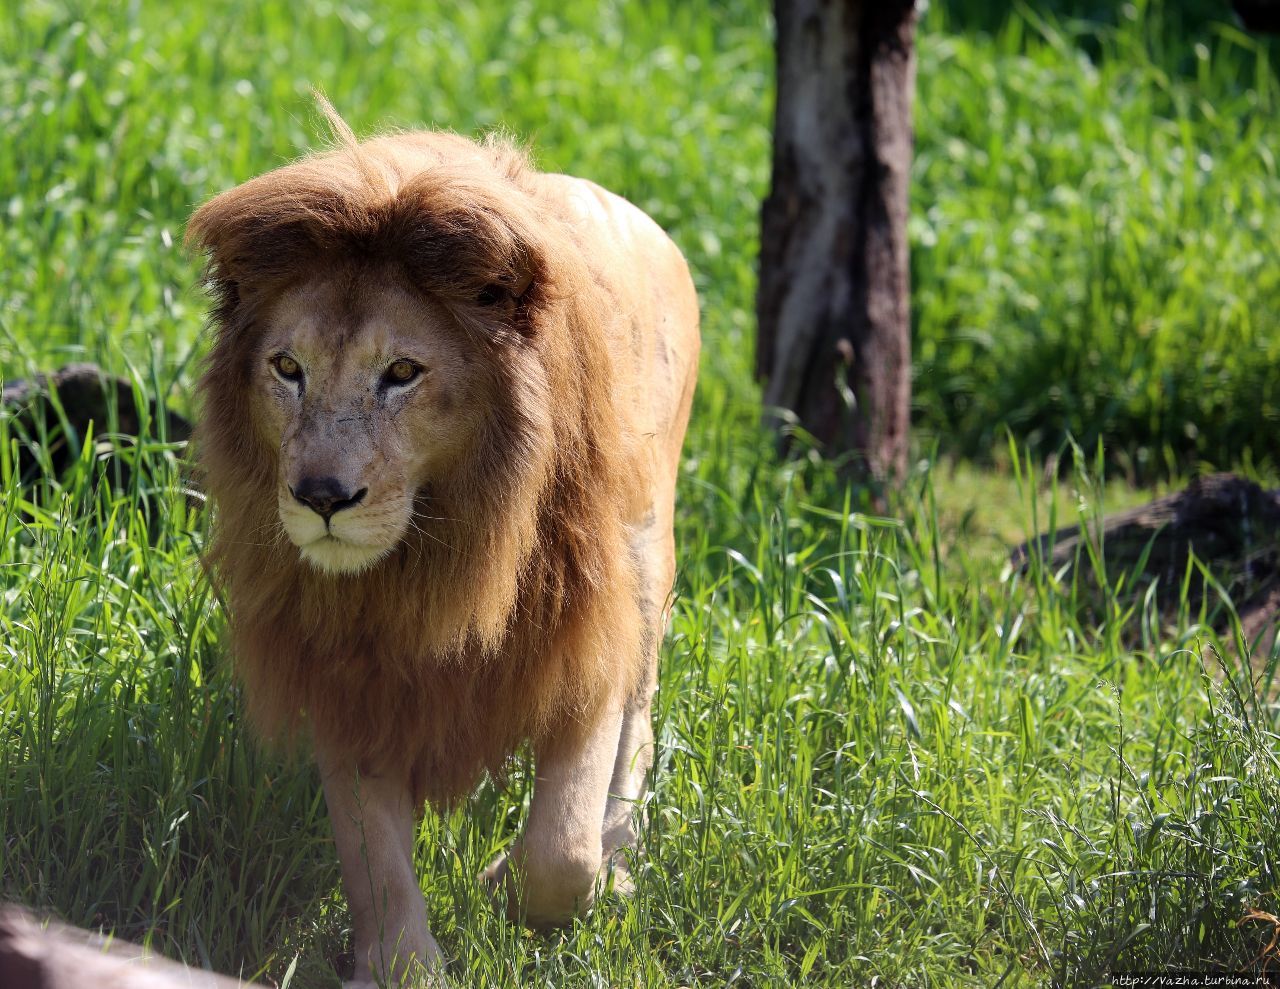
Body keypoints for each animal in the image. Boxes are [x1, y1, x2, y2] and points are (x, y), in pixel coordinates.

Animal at [186, 110, 701, 987]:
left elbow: (560, 851)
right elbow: (377, 861)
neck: (436, 558)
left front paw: (515, 888)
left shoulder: (582, 635)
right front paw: (399, 957)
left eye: (402, 371)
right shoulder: (343, 671)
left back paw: (621, 855)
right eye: (287, 368)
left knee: (639, 726)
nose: (322, 497)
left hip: (644, 564)